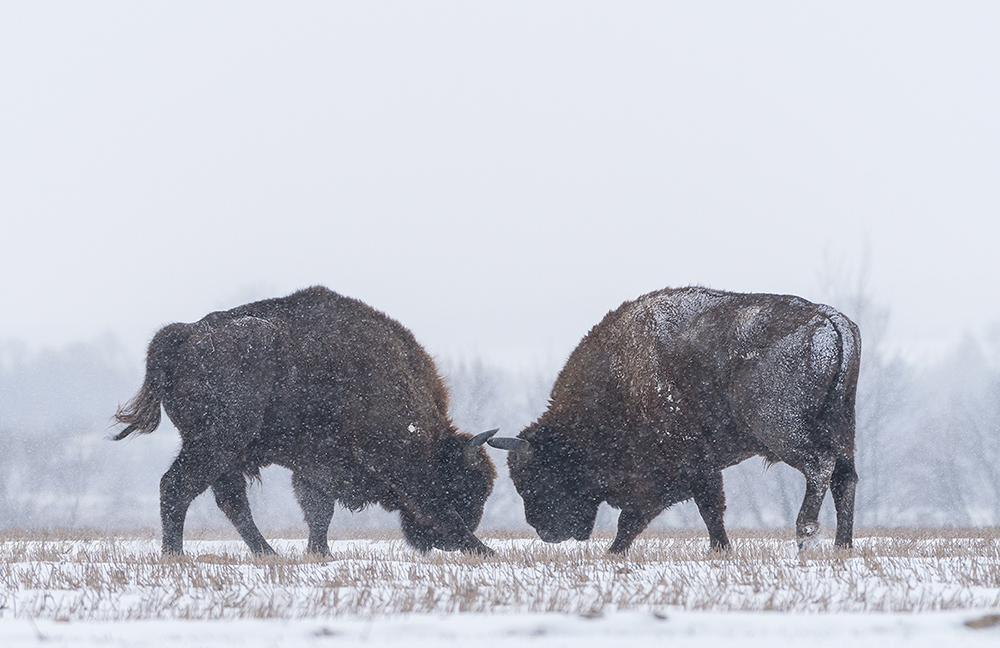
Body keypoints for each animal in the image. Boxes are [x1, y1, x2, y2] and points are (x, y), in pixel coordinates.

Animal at [115, 286, 498, 556]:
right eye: (467, 485)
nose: (437, 543)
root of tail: (185, 334)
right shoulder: (394, 459)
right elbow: (436, 505)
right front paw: (484, 550)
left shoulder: (317, 464)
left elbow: (319, 510)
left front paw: (320, 553)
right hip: (216, 443)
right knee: (177, 487)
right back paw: (175, 555)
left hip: (223, 452)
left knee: (230, 501)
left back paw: (268, 554)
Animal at [486, 286, 860, 556]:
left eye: (540, 477)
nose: (545, 532)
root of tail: (830, 319)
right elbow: (664, 515)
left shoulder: (687, 468)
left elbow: (696, 509)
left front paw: (718, 549)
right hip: (843, 429)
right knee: (845, 478)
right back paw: (842, 546)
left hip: (782, 431)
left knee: (820, 466)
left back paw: (805, 536)